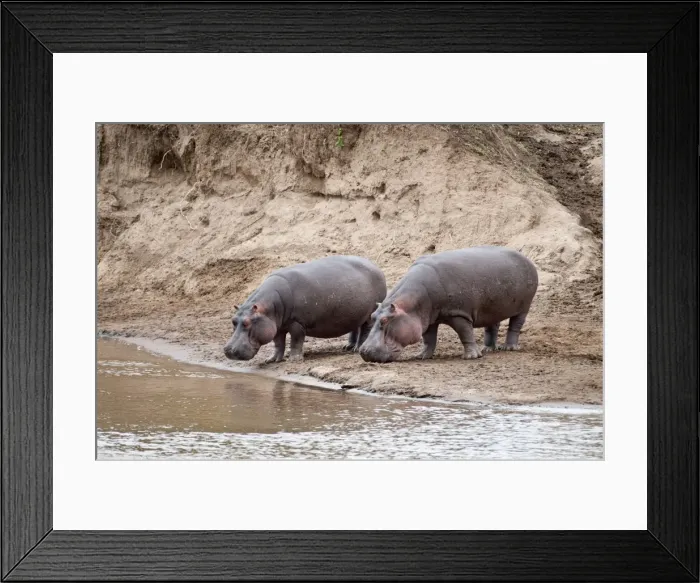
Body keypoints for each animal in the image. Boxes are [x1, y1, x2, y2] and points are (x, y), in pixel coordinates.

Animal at [224, 255, 387, 363]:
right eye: (233, 320)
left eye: (246, 322)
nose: (228, 350)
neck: (268, 308)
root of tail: (376, 266)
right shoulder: (277, 326)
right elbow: (278, 343)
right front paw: (272, 359)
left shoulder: (297, 323)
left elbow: (296, 341)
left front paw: (294, 359)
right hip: (356, 312)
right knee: (355, 327)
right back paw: (348, 346)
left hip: (369, 313)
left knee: (365, 329)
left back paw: (356, 349)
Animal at [359, 246, 538, 363]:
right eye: (373, 316)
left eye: (384, 321)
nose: (364, 351)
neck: (410, 306)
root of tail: (526, 258)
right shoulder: (427, 318)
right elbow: (428, 338)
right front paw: (422, 356)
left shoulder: (459, 313)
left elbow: (465, 333)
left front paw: (471, 357)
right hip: (493, 307)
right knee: (492, 325)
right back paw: (488, 349)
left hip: (524, 307)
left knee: (515, 326)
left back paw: (510, 348)